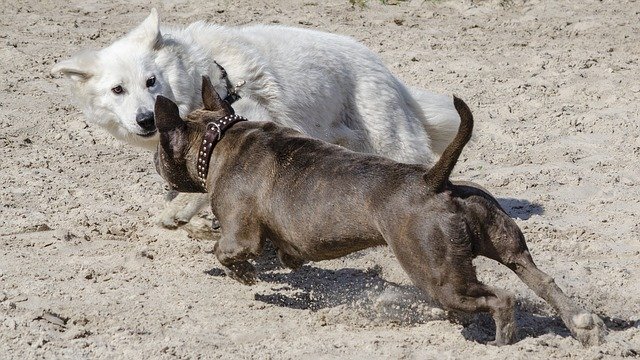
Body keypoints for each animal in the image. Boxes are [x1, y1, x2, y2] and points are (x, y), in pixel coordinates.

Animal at [50, 9, 460, 229]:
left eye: (150, 81)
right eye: (117, 90)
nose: (146, 119)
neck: (200, 73)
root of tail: (388, 72)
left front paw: (181, 210)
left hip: (390, 138)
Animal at [154, 76, 604, 346]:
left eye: (161, 146)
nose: (155, 163)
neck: (220, 138)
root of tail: (434, 181)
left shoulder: (240, 234)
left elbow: (223, 250)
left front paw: (243, 273)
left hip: (438, 276)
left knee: (501, 298)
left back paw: (501, 340)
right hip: (506, 246)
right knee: (541, 281)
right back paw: (583, 326)